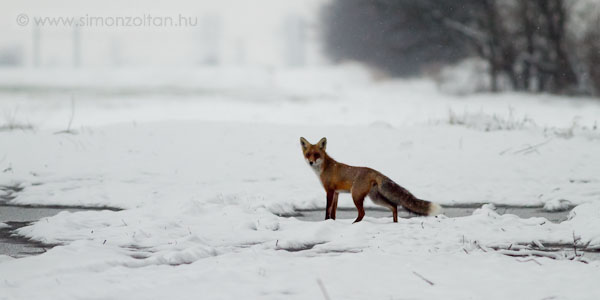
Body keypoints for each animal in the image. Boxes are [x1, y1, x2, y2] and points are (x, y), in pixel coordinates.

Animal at [300, 137, 440, 223]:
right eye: (308, 154)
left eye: (316, 155)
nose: (311, 162)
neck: (325, 168)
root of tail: (374, 171)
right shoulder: (336, 193)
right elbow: (333, 212)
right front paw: (332, 223)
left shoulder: (329, 191)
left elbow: (327, 210)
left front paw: (326, 221)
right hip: (375, 198)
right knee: (394, 206)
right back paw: (395, 223)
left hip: (356, 196)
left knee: (362, 213)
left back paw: (354, 224)